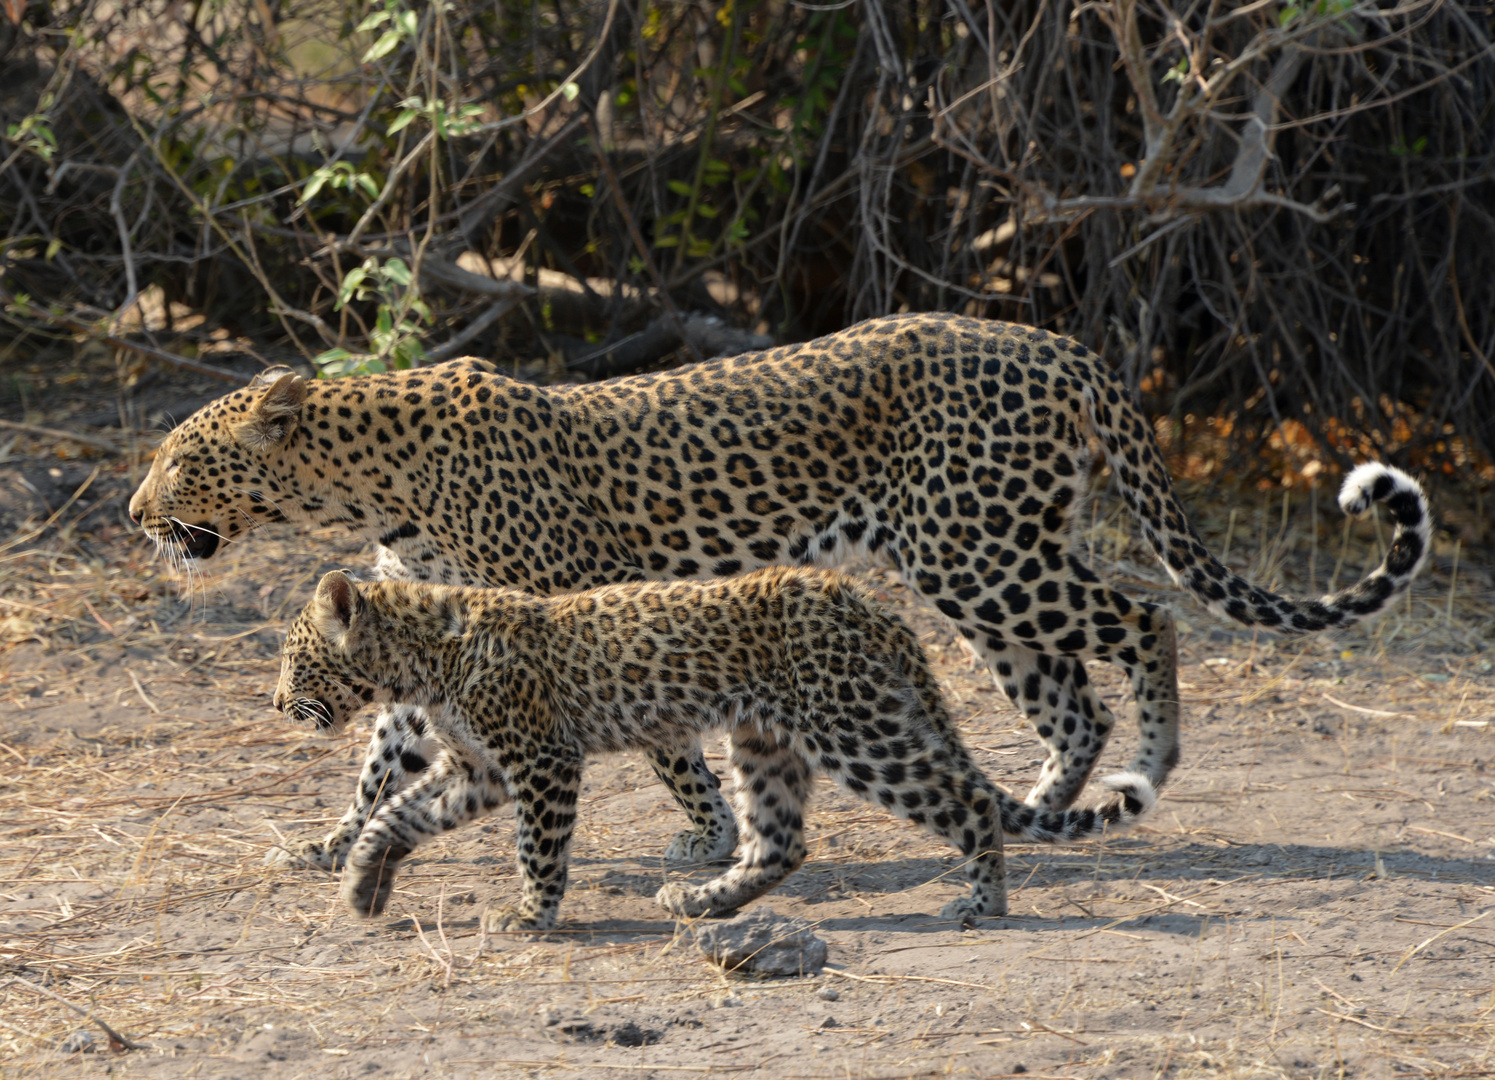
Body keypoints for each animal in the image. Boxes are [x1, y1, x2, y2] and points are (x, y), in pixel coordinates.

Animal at [134, 309, 1429, 867]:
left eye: (178, 460)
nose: (137, 514)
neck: (372, 483)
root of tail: (1063, 347)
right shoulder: (432, 637)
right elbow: (385, 751)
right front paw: (337, 839)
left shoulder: (570, 612)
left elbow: (663, 748)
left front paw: (707, 837)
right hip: (974, 568)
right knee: (1069, 695)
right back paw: (1037, 808)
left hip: (979, 553)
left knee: (1141, 618)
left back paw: (1137, 773)